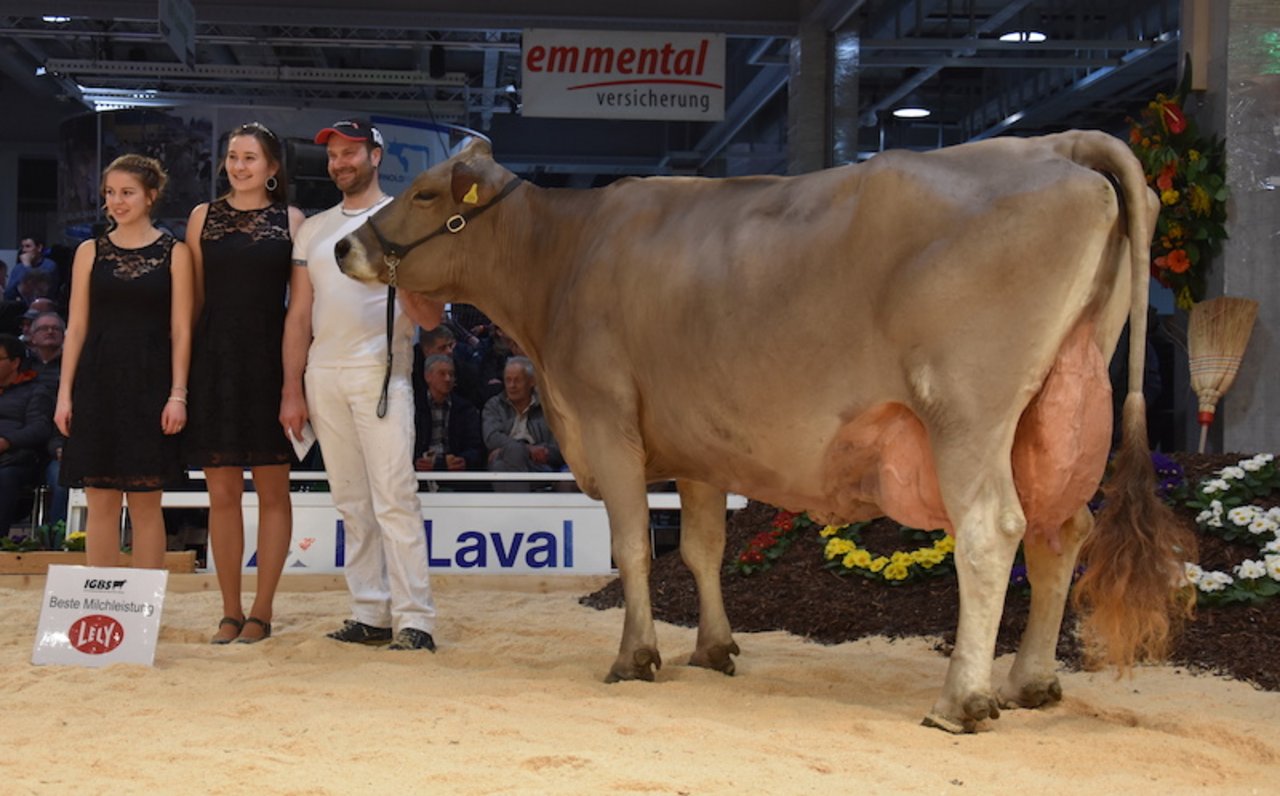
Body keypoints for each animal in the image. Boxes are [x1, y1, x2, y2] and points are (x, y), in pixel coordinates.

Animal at [335, 132, 1192, 737]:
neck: (561, 261)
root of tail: (1056, 144)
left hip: (967, 413)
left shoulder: (607, 421)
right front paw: (714, 649)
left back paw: (962, 701)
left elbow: (634, 547)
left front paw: (635, 656)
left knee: (991, 533)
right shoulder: (697, 446)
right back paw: (1029, 683)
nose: (345, 246)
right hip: (1053, 412)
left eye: (424, 192)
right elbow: (702, 548)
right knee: (1060, 533)